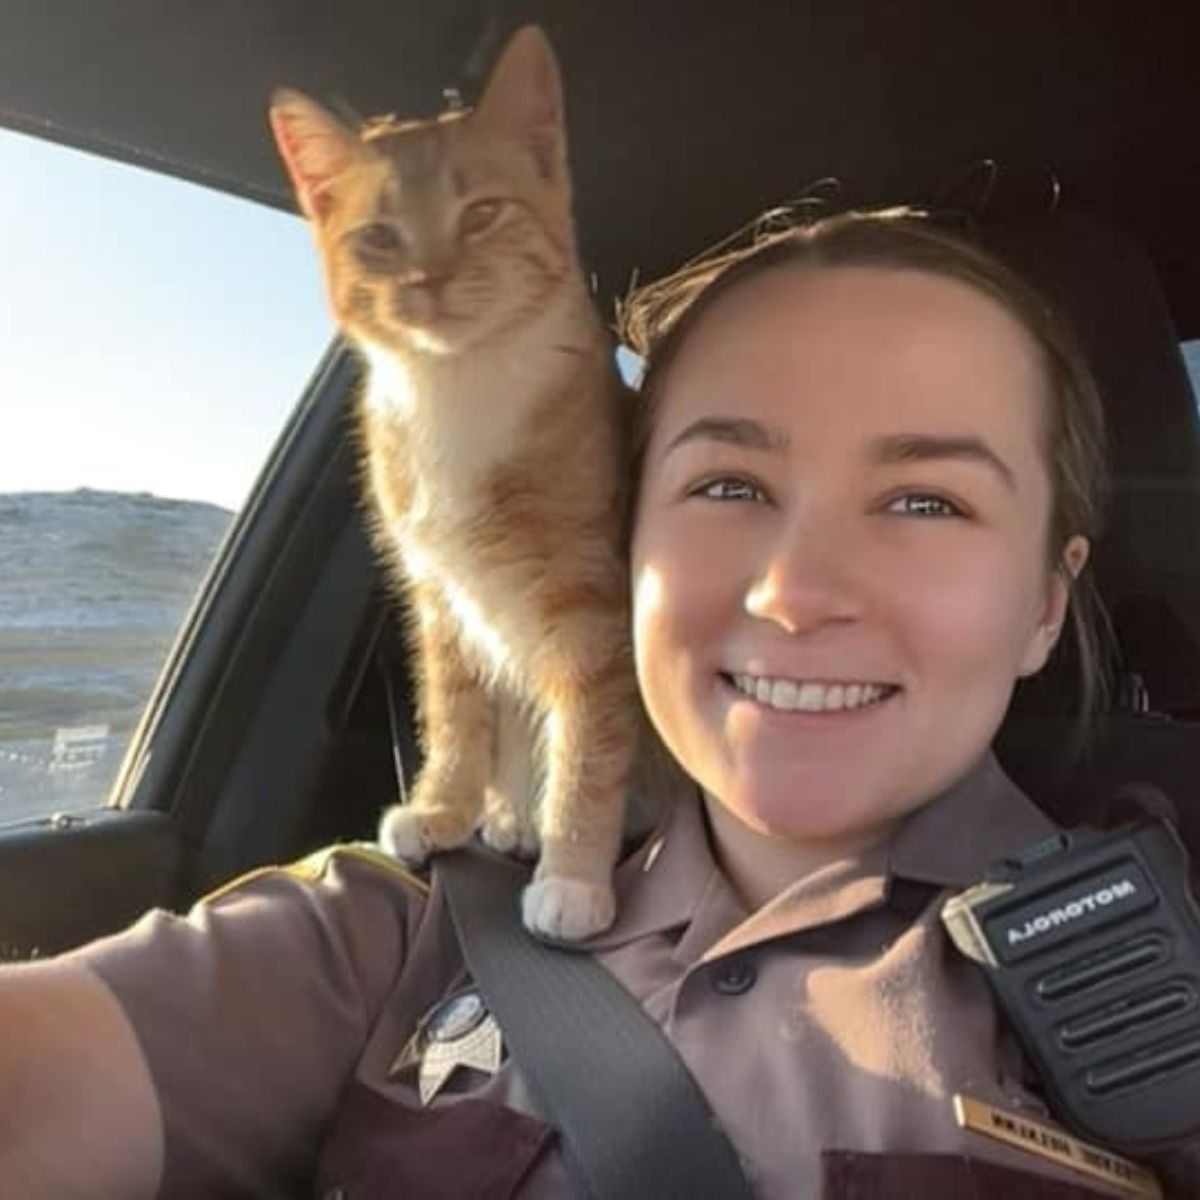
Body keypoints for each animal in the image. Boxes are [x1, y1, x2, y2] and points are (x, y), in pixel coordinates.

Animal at [267, 28, 633, 940]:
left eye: (482, 214)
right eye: (380, 236)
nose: (428, 280)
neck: (455, 387)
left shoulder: (594, 611)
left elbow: (589, 737)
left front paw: (573, 870)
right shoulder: (441, 596)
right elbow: (455, 714)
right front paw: (444, 811)